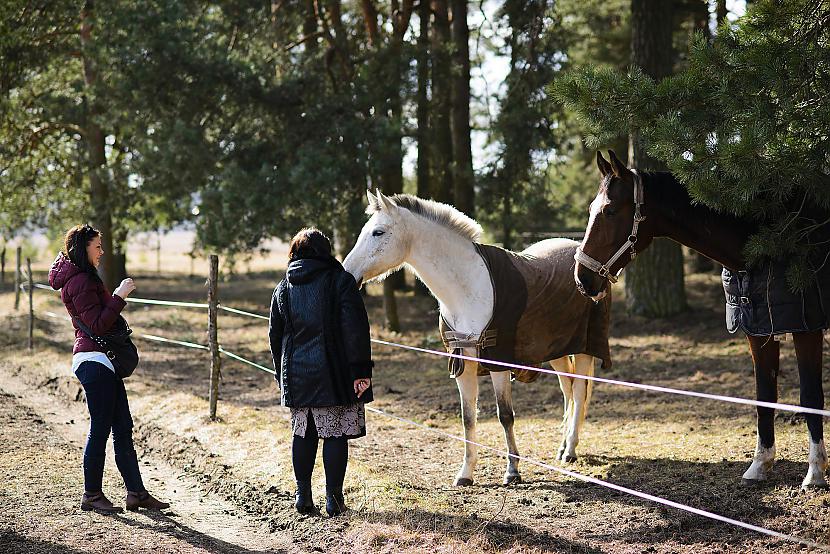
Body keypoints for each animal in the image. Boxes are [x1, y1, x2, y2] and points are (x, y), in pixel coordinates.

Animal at [344, 190, 604, 484]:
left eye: (378, 232)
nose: (348, 273)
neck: (468, 288)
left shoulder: (498, 363)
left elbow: (505, 415)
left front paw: (512, 471)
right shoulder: (463, 363)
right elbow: (468, 417)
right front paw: (466, 473)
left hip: (584, 349)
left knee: (579, 392)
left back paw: (570, 449)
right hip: (557, 351)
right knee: (567, 390)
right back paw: (562, 446)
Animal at [576, 150, 828, 488]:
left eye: (610, 210)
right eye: (592, 209)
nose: (582, 278)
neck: (769, 235)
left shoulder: (807, 329)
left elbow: (810, 396)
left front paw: (814, 472)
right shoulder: (758, 331)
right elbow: (764, 395)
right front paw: (760, 464)